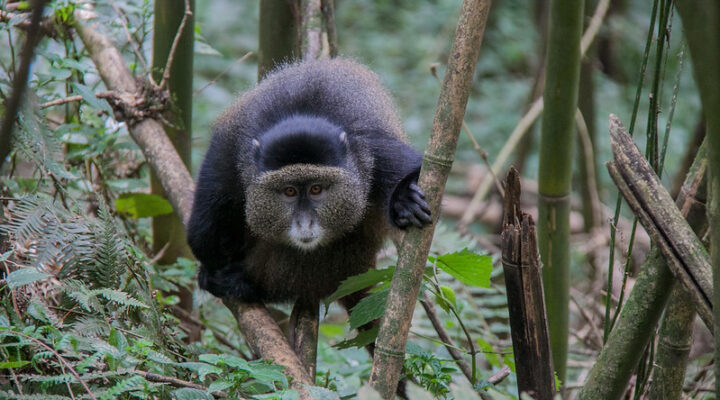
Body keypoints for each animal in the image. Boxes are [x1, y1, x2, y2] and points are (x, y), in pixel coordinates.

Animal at [187, 58, 432, 304]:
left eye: (316, 189)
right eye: (289, 191)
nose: (305, 223)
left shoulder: (375, 149)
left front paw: (405, 199)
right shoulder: (230, 150)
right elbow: (202, 231)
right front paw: (212, 273)